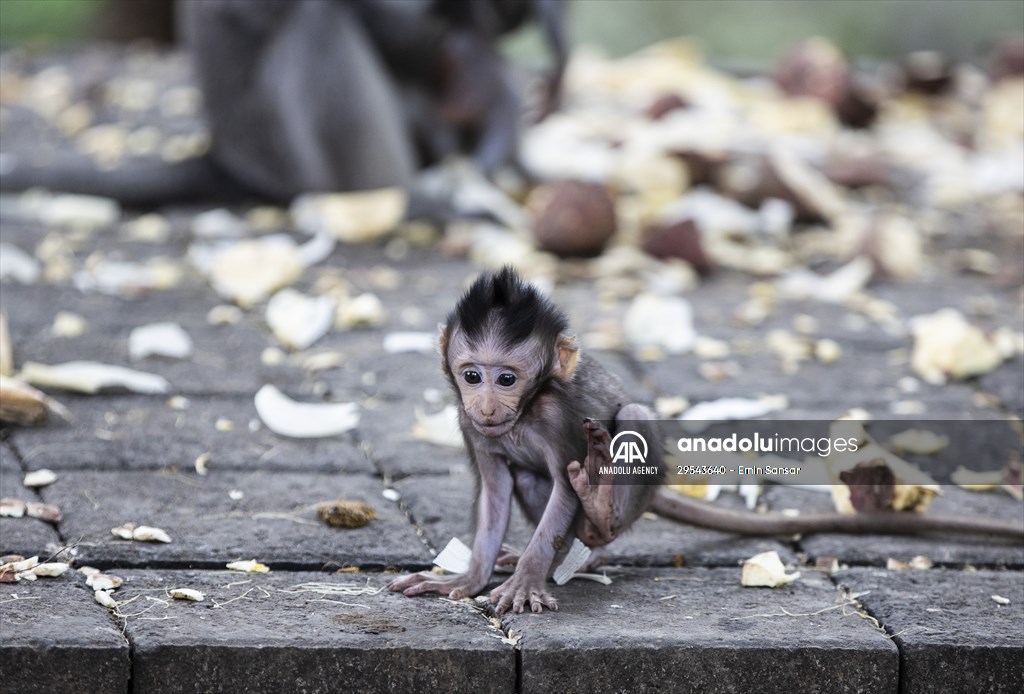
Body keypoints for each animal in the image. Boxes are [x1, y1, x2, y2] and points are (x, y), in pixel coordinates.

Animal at [388, 267, 1023, 615]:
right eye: (472, 375)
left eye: (507, 379)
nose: (488, 404)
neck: (520, 414)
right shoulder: (469, 426)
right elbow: (496, 489)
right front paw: (468, 577)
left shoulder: (551, 414)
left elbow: (562, 487)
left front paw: (525, 578)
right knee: (528, 481)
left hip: (635, 480)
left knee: (627, 428)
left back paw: (597, 515)